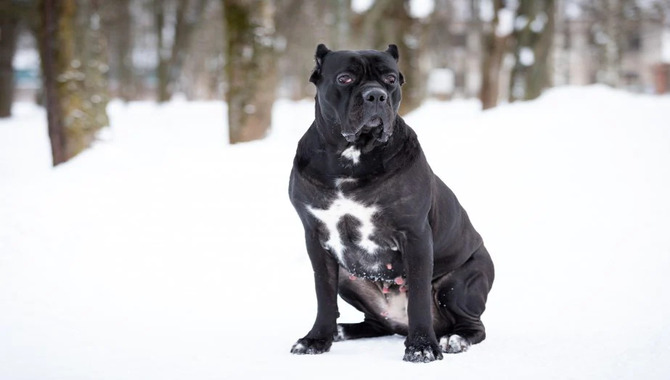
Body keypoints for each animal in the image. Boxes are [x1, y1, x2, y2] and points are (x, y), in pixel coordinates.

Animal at [288, 43, 494, 362]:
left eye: (390, 79)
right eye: (345, 78)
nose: (375, 95)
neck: (351, 157)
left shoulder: (415, 236)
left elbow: (418, 297)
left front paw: (422, 346)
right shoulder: (316, 240)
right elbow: (323, 295)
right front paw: (316, 339)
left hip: (460, 284)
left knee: (474, 325)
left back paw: (454, 339)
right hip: (348, 278)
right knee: (374, 322)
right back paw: (340, 331)